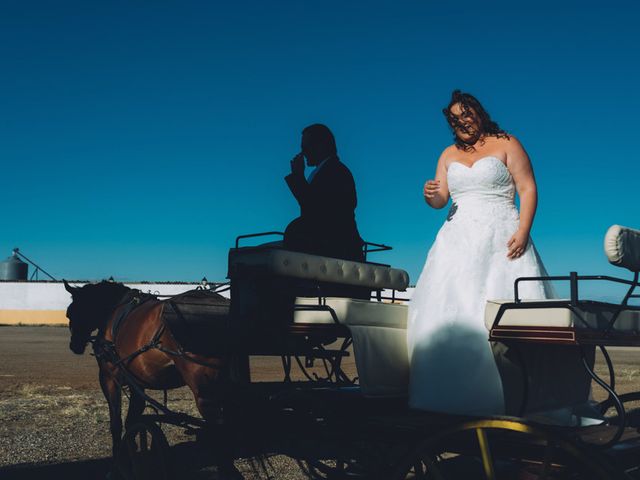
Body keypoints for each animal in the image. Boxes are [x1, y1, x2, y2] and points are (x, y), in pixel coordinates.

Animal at [62, 282, 231, 468]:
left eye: (70, 312)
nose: (74, 345)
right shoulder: (136, 383)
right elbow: (132, 420)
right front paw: (132, 450)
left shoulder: (108, 378)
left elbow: (116, 423)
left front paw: (119, 457)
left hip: (206, 397)